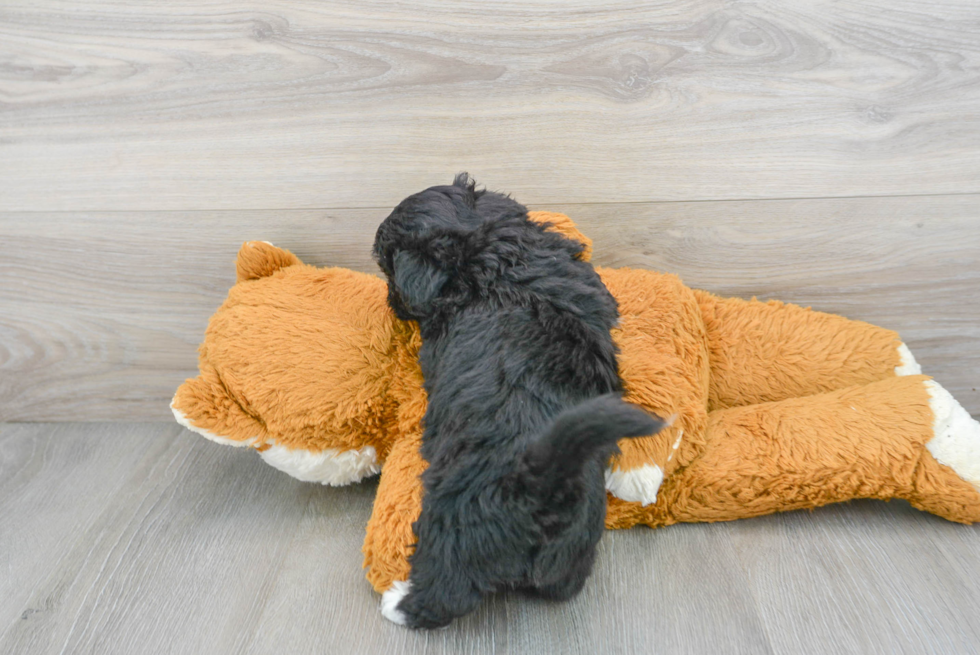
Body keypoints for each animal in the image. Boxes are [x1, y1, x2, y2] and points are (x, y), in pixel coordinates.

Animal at [372, 174, 664, 632]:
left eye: (386, 266)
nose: (391, 301)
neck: (493, 251)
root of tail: (545, 486)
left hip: (453, 520)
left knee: (446, 589)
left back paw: (400, 600)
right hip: (574, 549)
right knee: (563, 585)